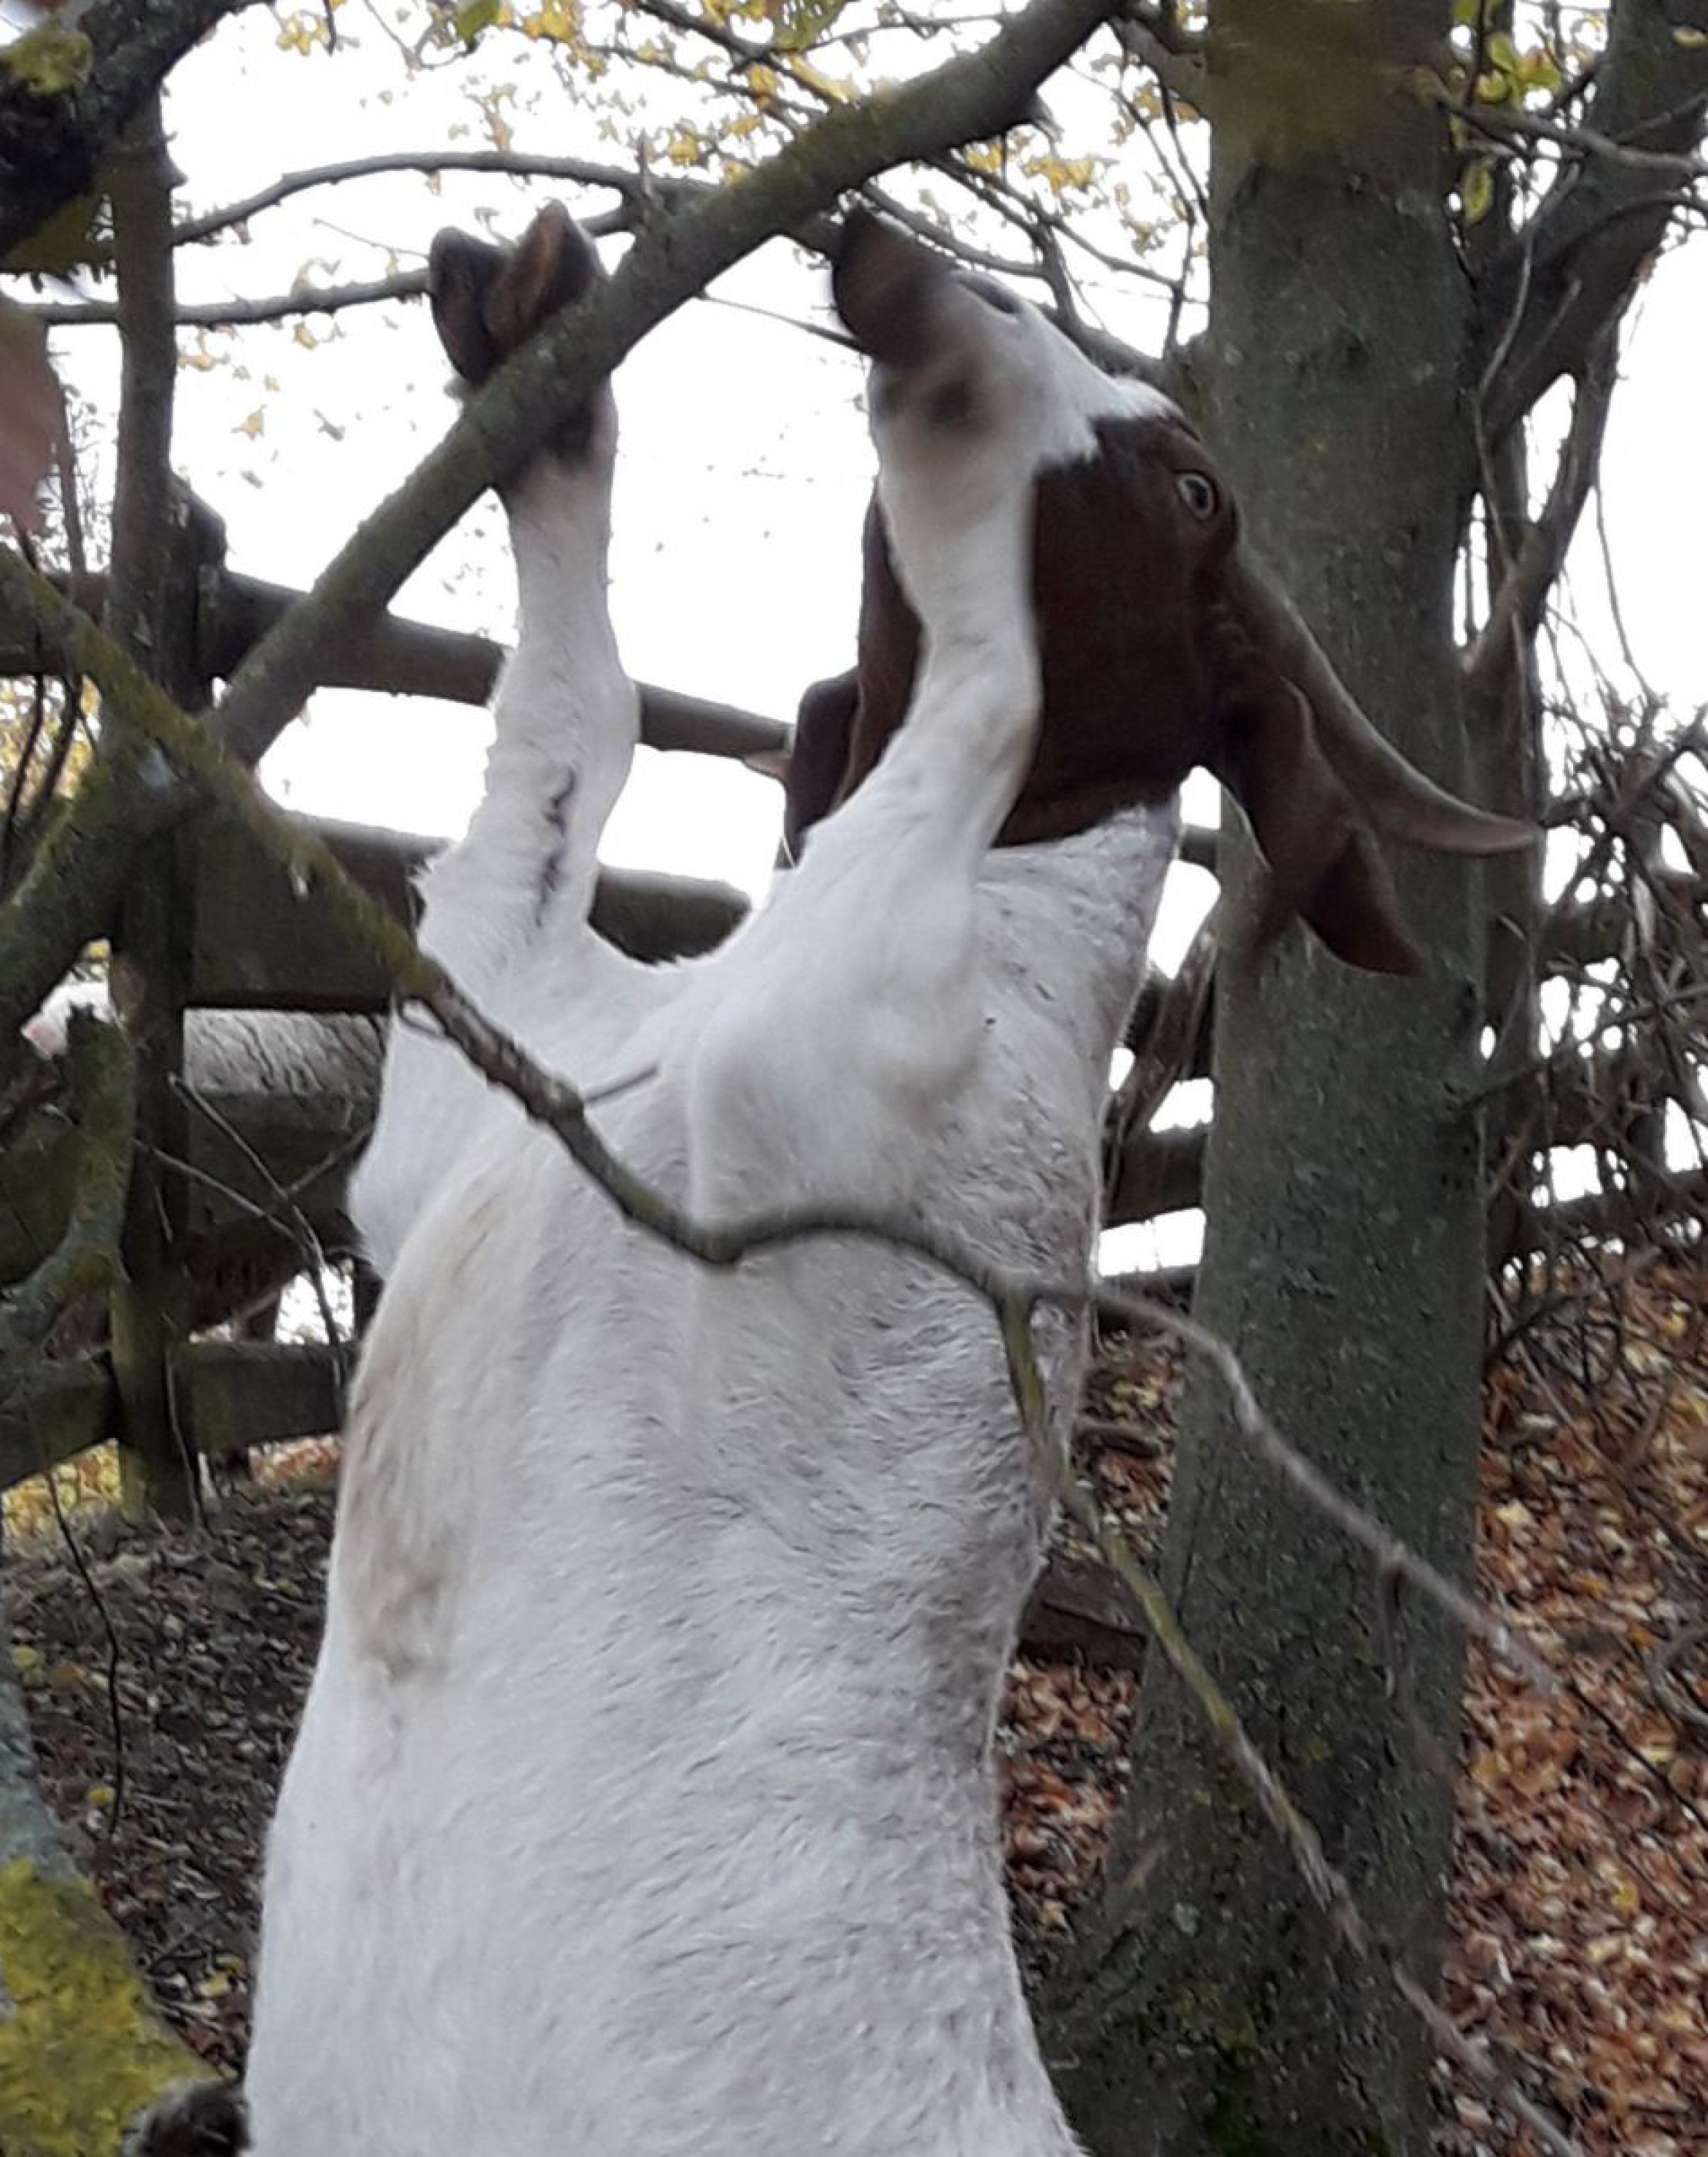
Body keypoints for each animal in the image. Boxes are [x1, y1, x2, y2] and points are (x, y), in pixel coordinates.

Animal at [210, 206, 1525, 2157]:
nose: (890, 262)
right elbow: (564, 741)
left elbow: (982, 685)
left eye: (1195, 484)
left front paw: (954, 412)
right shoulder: (466, 1089)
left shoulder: (838, 1049)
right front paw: (542, 388)